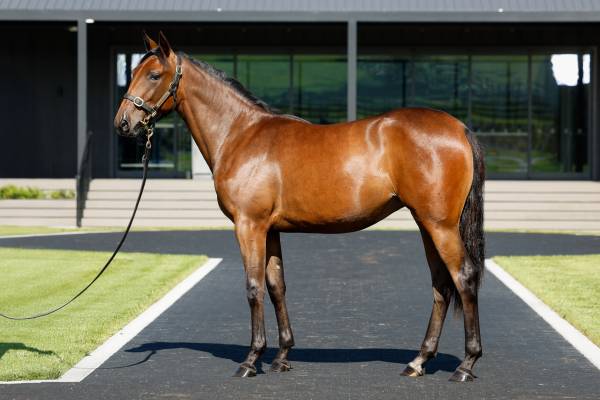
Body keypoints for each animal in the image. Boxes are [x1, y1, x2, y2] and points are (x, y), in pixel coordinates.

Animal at [114, 32, 485, 382]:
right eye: (132, 72)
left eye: (154, 75)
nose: (123, 123)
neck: (240, 134)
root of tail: (459, 128)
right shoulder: (270, 230)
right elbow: (277, 286)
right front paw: (281, 357)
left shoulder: (248, 225)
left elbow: (253, 287)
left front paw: (251, 360)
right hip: (426, 224)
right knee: (441, 284)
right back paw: (418, 362)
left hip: (439, 225)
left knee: (463, 277)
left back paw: (466, 365)